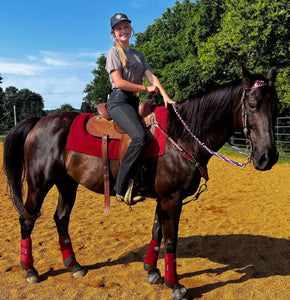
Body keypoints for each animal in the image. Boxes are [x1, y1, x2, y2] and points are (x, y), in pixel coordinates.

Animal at [1, 67, 278, 298]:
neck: (181, 136)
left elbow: (157, 232)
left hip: (67, 183)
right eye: (252, 105)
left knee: (61, 218)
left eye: (276, 105)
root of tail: (38, 121)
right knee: (27, 220)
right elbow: (171, 240)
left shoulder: (164, 198)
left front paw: (152, 272)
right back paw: (30, 270)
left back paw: (74, 265)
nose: (269, 157)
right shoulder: (172, 199)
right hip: (40, 183)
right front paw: (174, 284)